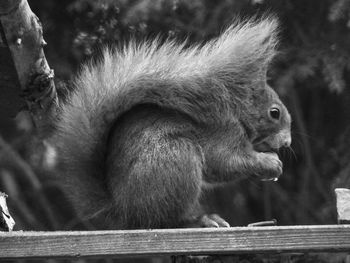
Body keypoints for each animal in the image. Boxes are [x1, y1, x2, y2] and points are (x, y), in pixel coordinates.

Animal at [49, 16, 290, 230]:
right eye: (274, 113)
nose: (287, 143)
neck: (237, 110)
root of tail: (122, 212)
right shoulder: (223, 130)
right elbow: (226, 162)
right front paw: (270, 162)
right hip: (176, 159)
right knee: (163, 221)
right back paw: (201, 220)